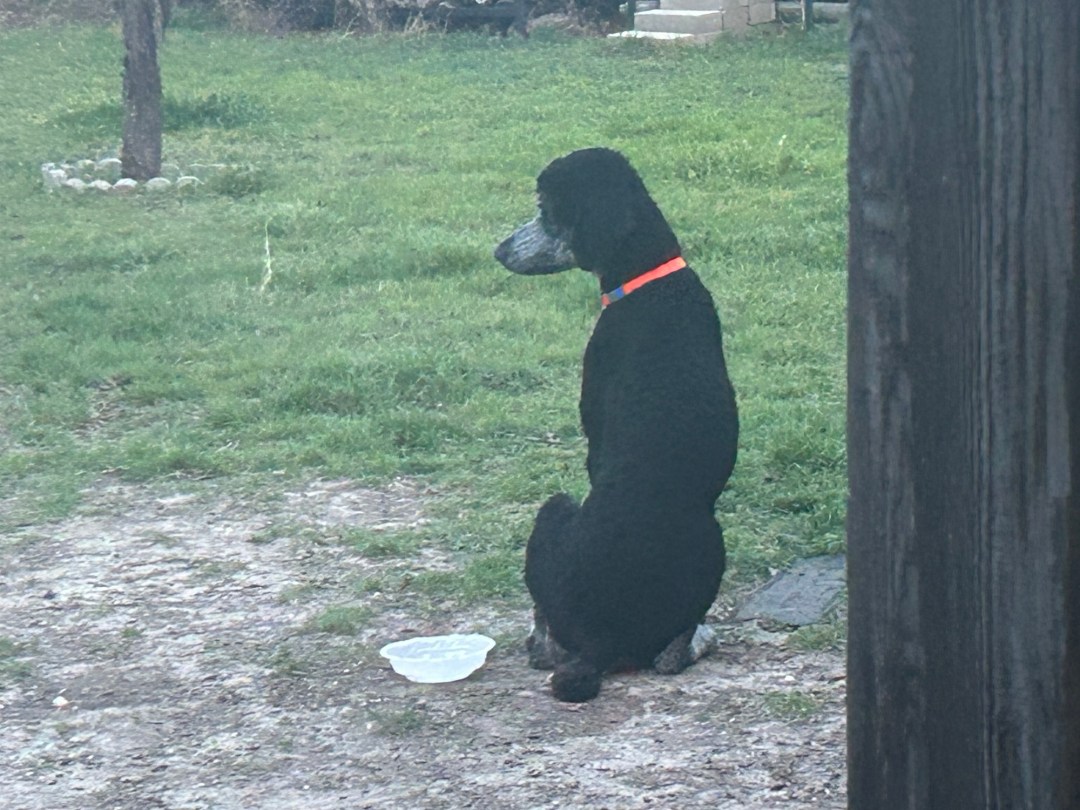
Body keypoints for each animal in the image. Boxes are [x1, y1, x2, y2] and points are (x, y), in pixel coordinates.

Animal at [494, 147, 739, 701]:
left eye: (546, 209)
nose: (500, 251)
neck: (650, 277)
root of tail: (600, 641)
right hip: (712, 544)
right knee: (673, 652)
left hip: (554, 510)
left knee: (550, 636)